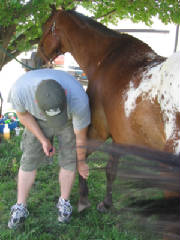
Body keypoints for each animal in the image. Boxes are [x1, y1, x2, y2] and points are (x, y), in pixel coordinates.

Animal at [37, 5, 180, 212]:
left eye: (46, 27)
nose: (36, 57)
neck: (105, 58)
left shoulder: (98, 131)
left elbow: (81, 158)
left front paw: (83, 199)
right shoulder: (120, 137)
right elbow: (111, 170)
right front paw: (106, 203)